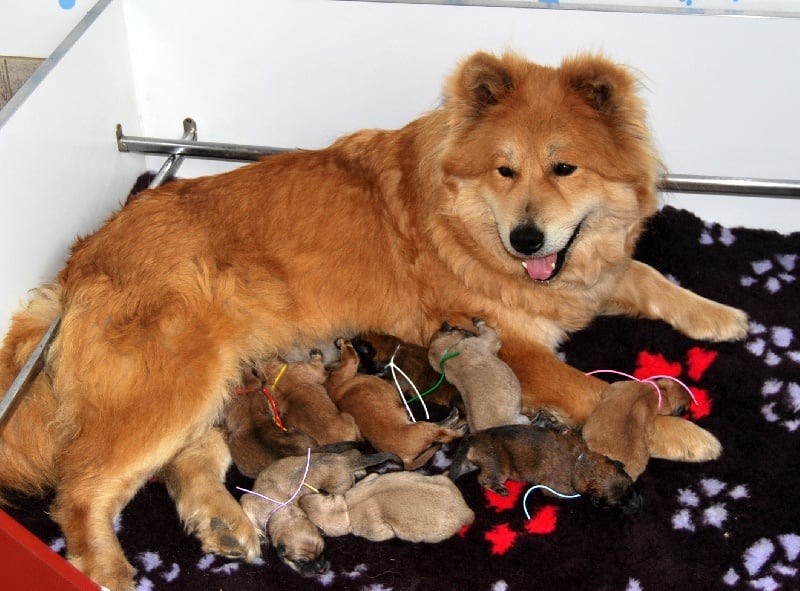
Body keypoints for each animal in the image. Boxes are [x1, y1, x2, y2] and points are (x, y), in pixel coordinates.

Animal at [238, 448, 400, 580]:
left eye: (322, 551)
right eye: (301, 561)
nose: (321, 570)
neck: (283, 512)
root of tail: (343, 461)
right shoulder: (247, 503)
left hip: (339, 487)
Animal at [300, 472, 476, 544]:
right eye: (314, 493)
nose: (299, 501)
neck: (345, 509)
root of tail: (465, 509)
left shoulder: (379, 533)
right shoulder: (370, 478)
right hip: (440, 479)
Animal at [454, 424, 640, 516]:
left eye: (631, 486)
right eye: (616, 504)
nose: (638, 506)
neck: (581, 462)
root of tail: (474, 437)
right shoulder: (554, 488)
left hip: (471, 462)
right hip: (498, 468)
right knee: (483, 479)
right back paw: (499, 489)